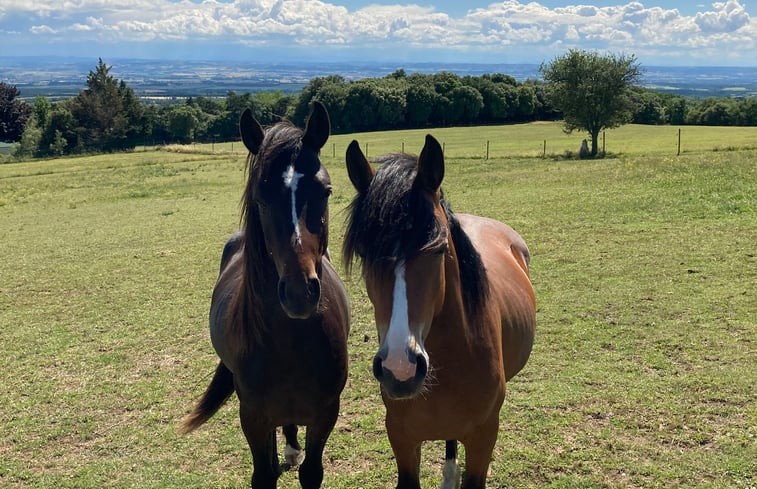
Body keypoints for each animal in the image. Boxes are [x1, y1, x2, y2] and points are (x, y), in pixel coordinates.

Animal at [182, 101, 350, 486]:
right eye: (260, 198)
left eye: (325, 191)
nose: (300, 292)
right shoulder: (253, 416)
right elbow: (264, 474)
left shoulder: (325, 412)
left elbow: (311, 472)